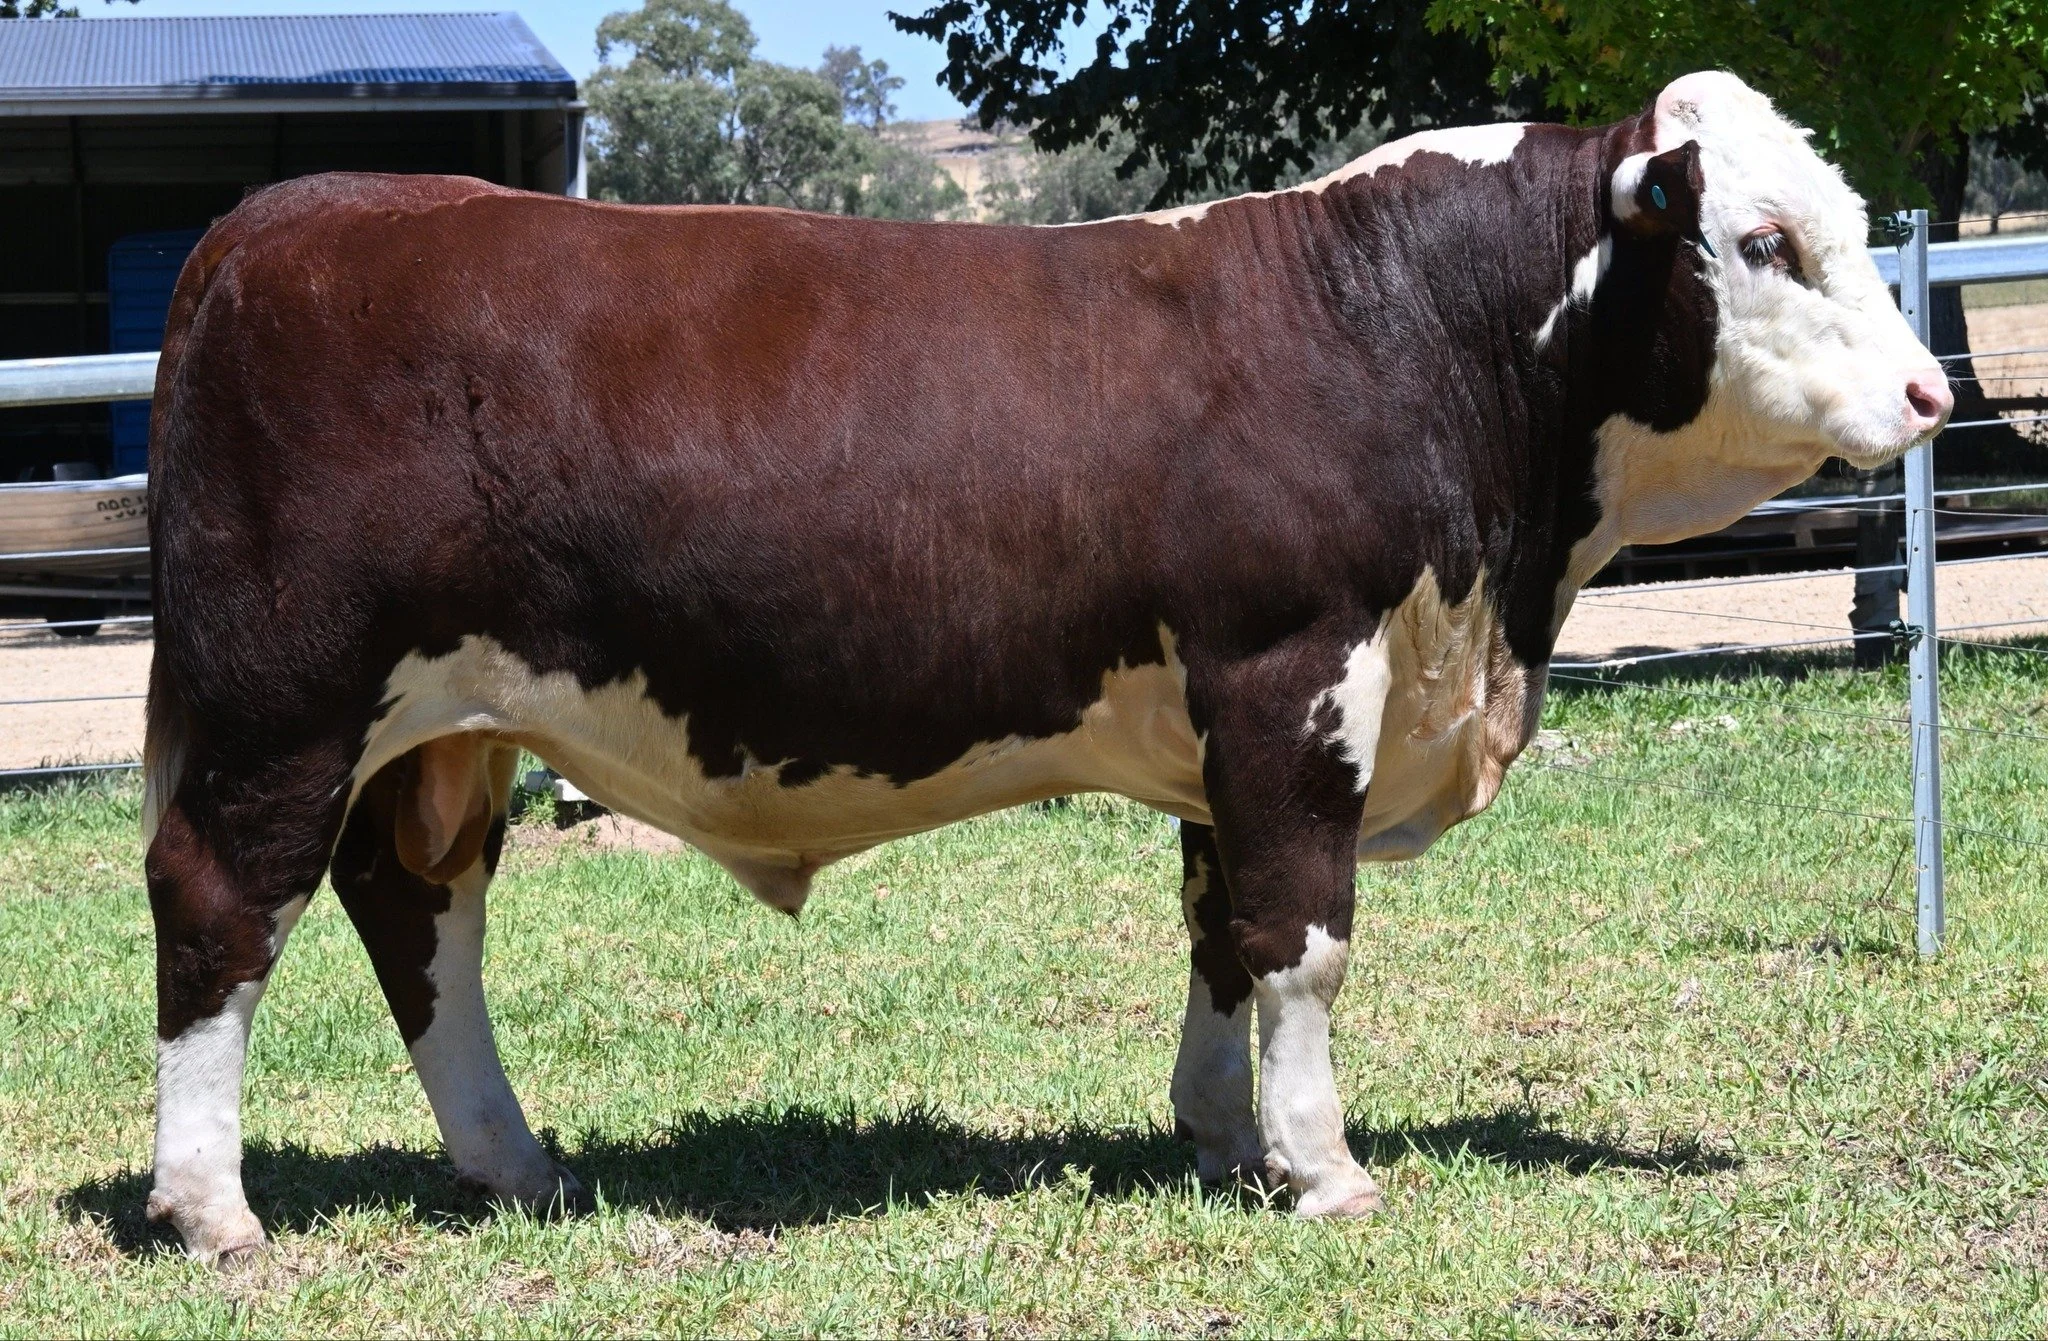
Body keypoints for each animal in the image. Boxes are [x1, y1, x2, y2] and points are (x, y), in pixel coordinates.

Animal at [138, 70, 1949, 1260]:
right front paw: (1325, 1169)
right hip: (282, 703)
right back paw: (216, 1210)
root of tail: (303, 211)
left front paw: (1223, 1140)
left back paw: (515, 1167)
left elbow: (1223, 931)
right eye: (1767, 241)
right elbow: (1303, 940)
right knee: (224, 907)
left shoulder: (1237, 725)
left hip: (447, 728)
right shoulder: (1291, 677)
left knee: (418, 912)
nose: (1933, 396)